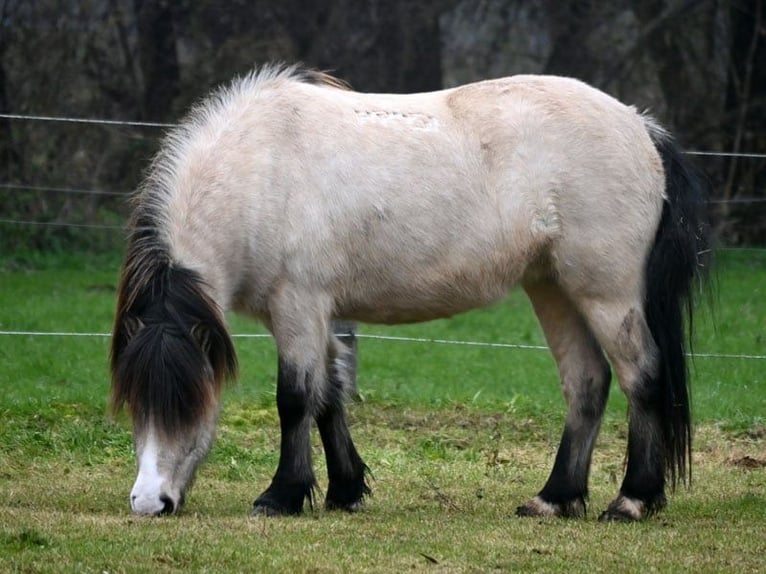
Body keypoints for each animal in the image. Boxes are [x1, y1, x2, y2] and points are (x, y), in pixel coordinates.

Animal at [110, 64, 710, 522]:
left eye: (188, 401)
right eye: (136, 400)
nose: (148, 503)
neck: (261, 169)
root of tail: (639, 124)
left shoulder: (297, 305)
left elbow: (295, 398)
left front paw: (281, 496)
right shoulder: (321, 313)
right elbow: (330, 397)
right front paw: (345, 491)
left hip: (606, 292)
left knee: (642, 377)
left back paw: (632, 500)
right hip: (553, 288)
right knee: (586, 384)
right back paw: (554, 498)